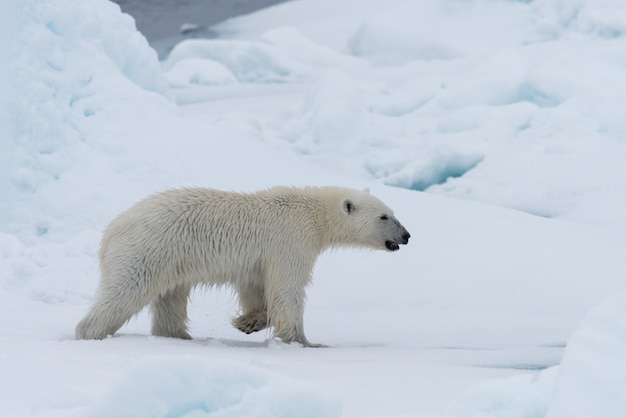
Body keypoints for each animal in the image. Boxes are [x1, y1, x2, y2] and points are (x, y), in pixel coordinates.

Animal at [75, 186, 410, 346]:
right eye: (384, 217)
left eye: (393, 212)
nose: (406, 236)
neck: (312, 212)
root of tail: (111, 230)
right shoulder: (291, 239)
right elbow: (288, 289)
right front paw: (304, 342)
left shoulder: (259, 259)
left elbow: (255, 287)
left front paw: (247, 322)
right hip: (148, 249)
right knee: (125, 291)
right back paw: (89, 332)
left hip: (169, 259)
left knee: (171, 298)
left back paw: (179, 337)